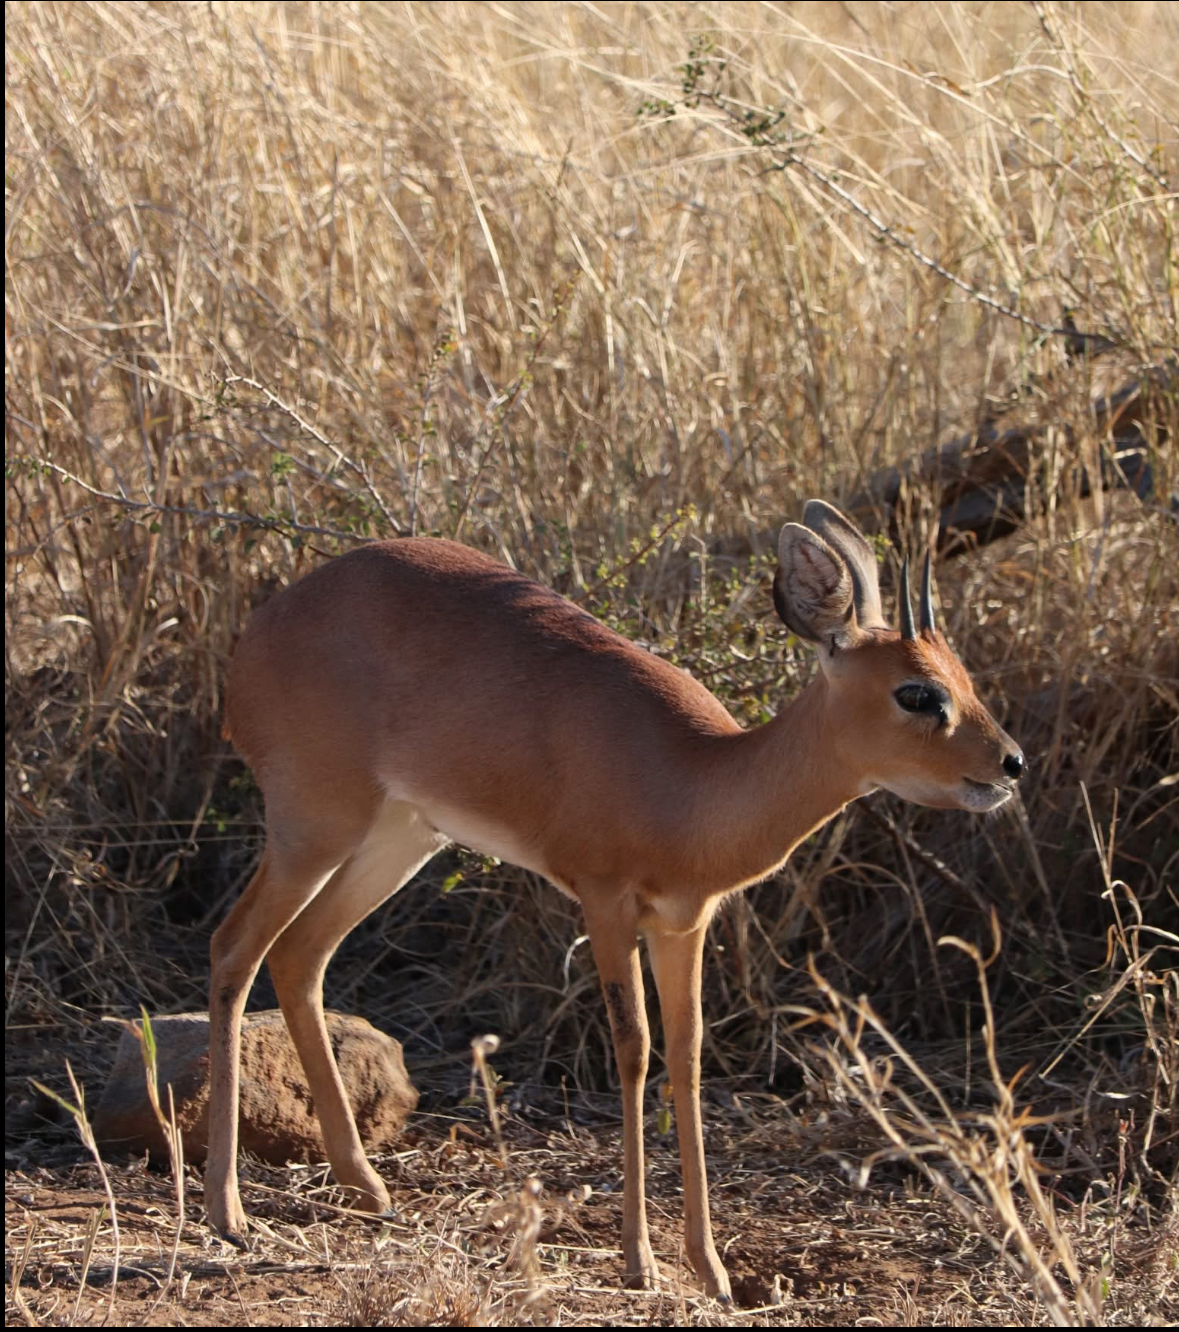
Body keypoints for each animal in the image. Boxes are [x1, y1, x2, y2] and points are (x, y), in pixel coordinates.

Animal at [207, 501, 1024, 1299]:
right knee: (234, 947)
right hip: (315, 827)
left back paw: (364, 1187)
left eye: (961, 676)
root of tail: (260, 632)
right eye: (917, 693)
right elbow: (634, 1050)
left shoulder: (683, 924)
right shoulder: (604, 904)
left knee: (299, 954)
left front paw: (711, 1269)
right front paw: (639, 1261)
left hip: (401, 838)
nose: (1010, 762)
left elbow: (687, 1055)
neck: (691, 784)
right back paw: (227, 1214)